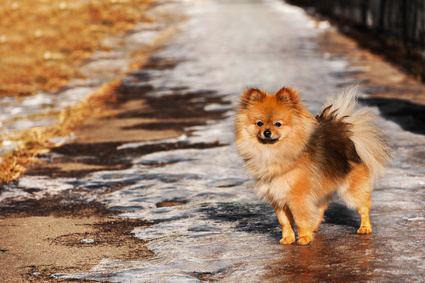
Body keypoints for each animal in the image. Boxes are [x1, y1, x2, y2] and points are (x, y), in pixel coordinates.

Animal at [235, 86, 390, 246]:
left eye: (278, 124)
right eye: (259, 123)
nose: (267, 132)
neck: (273, 152)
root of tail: (345, 131)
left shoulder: (298, 197)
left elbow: (300, 219)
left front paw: (304, 238)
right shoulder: (278, 197)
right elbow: (285, 222)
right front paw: (288, 238)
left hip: (350, 191)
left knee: (364, 206)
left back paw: (365, 227)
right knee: (322, 207)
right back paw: (314, 227)